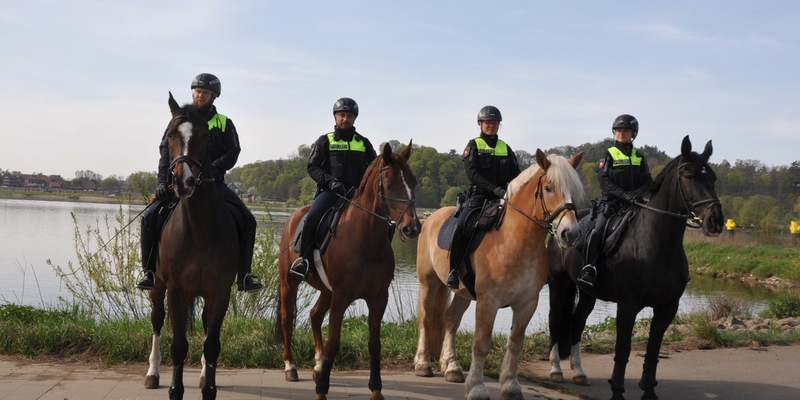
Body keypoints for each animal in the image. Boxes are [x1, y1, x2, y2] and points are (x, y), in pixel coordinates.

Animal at [276, 141, 421, 400]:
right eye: (390, 183)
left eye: (413, 182)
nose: (411, 228)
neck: (365, 239)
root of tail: (295, 215)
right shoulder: (342, 297)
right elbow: (334, 342)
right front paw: (322, 391)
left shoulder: (378, 298)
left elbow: (374, 344)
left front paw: (376, 390)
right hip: (289, 282)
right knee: (286, 319)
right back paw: (290, 367)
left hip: (326, 291)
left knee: (315, 315)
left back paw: (317, 365)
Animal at [414, 149, 585, 400]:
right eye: (548, 188)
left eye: (575, 189)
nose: (570, 234)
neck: (515, 240)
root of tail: (432, 218)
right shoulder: (488, 302)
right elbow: (481, 343)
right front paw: (477, 387)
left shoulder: (526, 304)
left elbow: (515, 344)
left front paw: (510, 385)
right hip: (430, 283)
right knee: (426, 319)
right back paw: (423, 364)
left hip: (463, 293)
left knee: (451, 320)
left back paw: (452, 367)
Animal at [547, 135, 724, 400]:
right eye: (689, 176)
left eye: (712, 177)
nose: (716, 221)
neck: (657, 244)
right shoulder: (628, 306)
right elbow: (623, 349)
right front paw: (617, 391)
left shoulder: (667, 307)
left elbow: (653, 350)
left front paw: (649, 392)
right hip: (558, 283)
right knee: (555, 320)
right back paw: (556, 370)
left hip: (587, 292)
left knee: (577, 323)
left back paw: (579, 373)